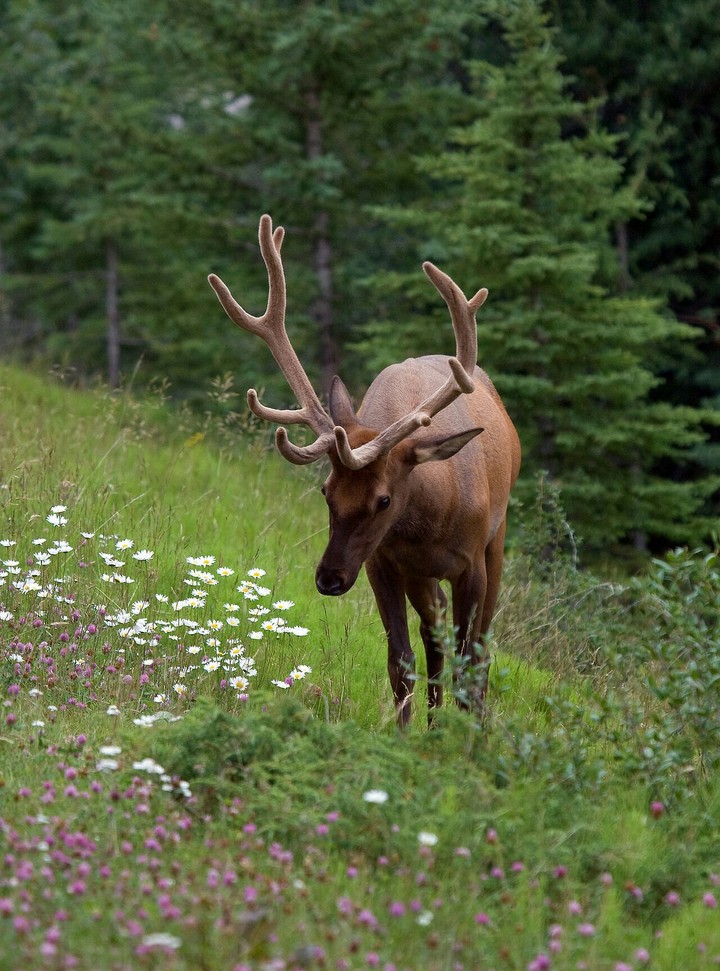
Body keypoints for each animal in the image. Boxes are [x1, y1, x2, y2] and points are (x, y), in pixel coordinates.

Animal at [208, 215, 521, 727]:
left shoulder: (472, 560)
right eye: (325, 492)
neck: (432, 520)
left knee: (477, 648)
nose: (329, 579)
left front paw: (465, 733)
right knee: (432, 633)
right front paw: (406, 733)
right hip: (417, 575)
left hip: (498, 538)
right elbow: (402, 662)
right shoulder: (382, 562)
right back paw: (433, 721)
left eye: (384, 499)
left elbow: (469, 656)